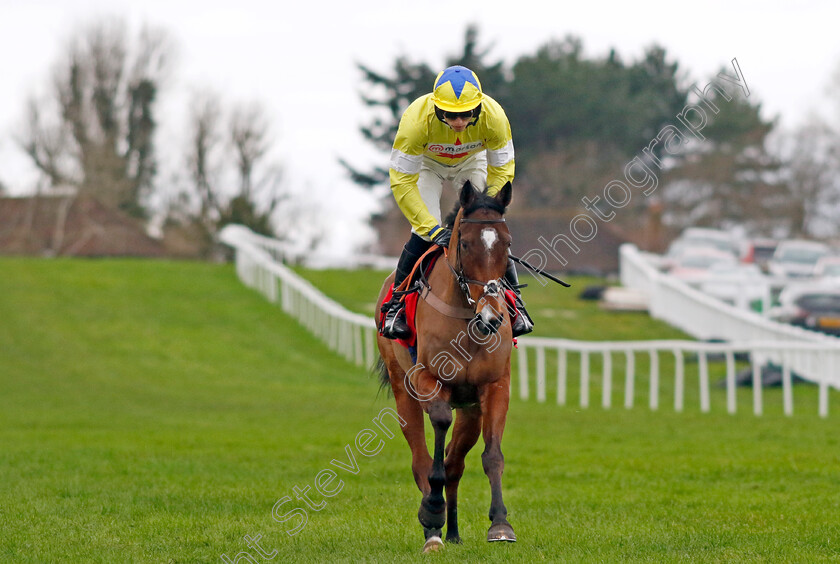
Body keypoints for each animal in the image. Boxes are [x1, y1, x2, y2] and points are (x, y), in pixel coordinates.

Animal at [376, 182, 520, 556]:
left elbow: (492, 455)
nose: (492, 316)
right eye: (465, 243)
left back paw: (452, 531)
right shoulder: (427, 379)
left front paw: (500, 525)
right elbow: (438, 434)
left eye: (507, 244)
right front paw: (431, 512)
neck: (468, 320)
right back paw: (434, 531)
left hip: (470, 410)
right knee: (421, 460)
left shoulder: (494, 386)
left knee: (455, 463)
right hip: (403, 393)